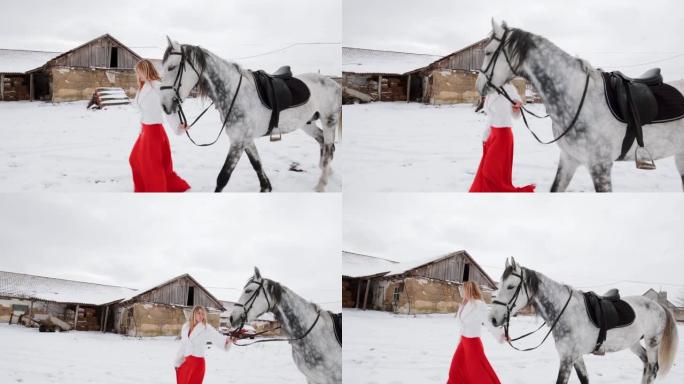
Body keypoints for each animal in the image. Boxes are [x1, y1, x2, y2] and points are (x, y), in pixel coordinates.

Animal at [159, 36, 342, 192]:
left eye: (171, 67)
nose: (164, 105)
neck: (235, 92)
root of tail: (333, 83)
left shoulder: (238, 142)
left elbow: (223, 177)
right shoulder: (245, 139)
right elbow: (257, 164)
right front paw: (266, 188)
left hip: (329, 121)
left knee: (328, 147)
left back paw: (321, 184)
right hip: (307, 123)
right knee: (323, 142)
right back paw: (327, 172)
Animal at [492, 256, 680, 382]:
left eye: (510, 286)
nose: (493, 318)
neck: (565, 311)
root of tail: (659, 306)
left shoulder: (567, 358)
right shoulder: (575, 357)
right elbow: (584, 379)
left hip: (652, 342)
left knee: (652, 368)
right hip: (633, 343)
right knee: (646, 365)